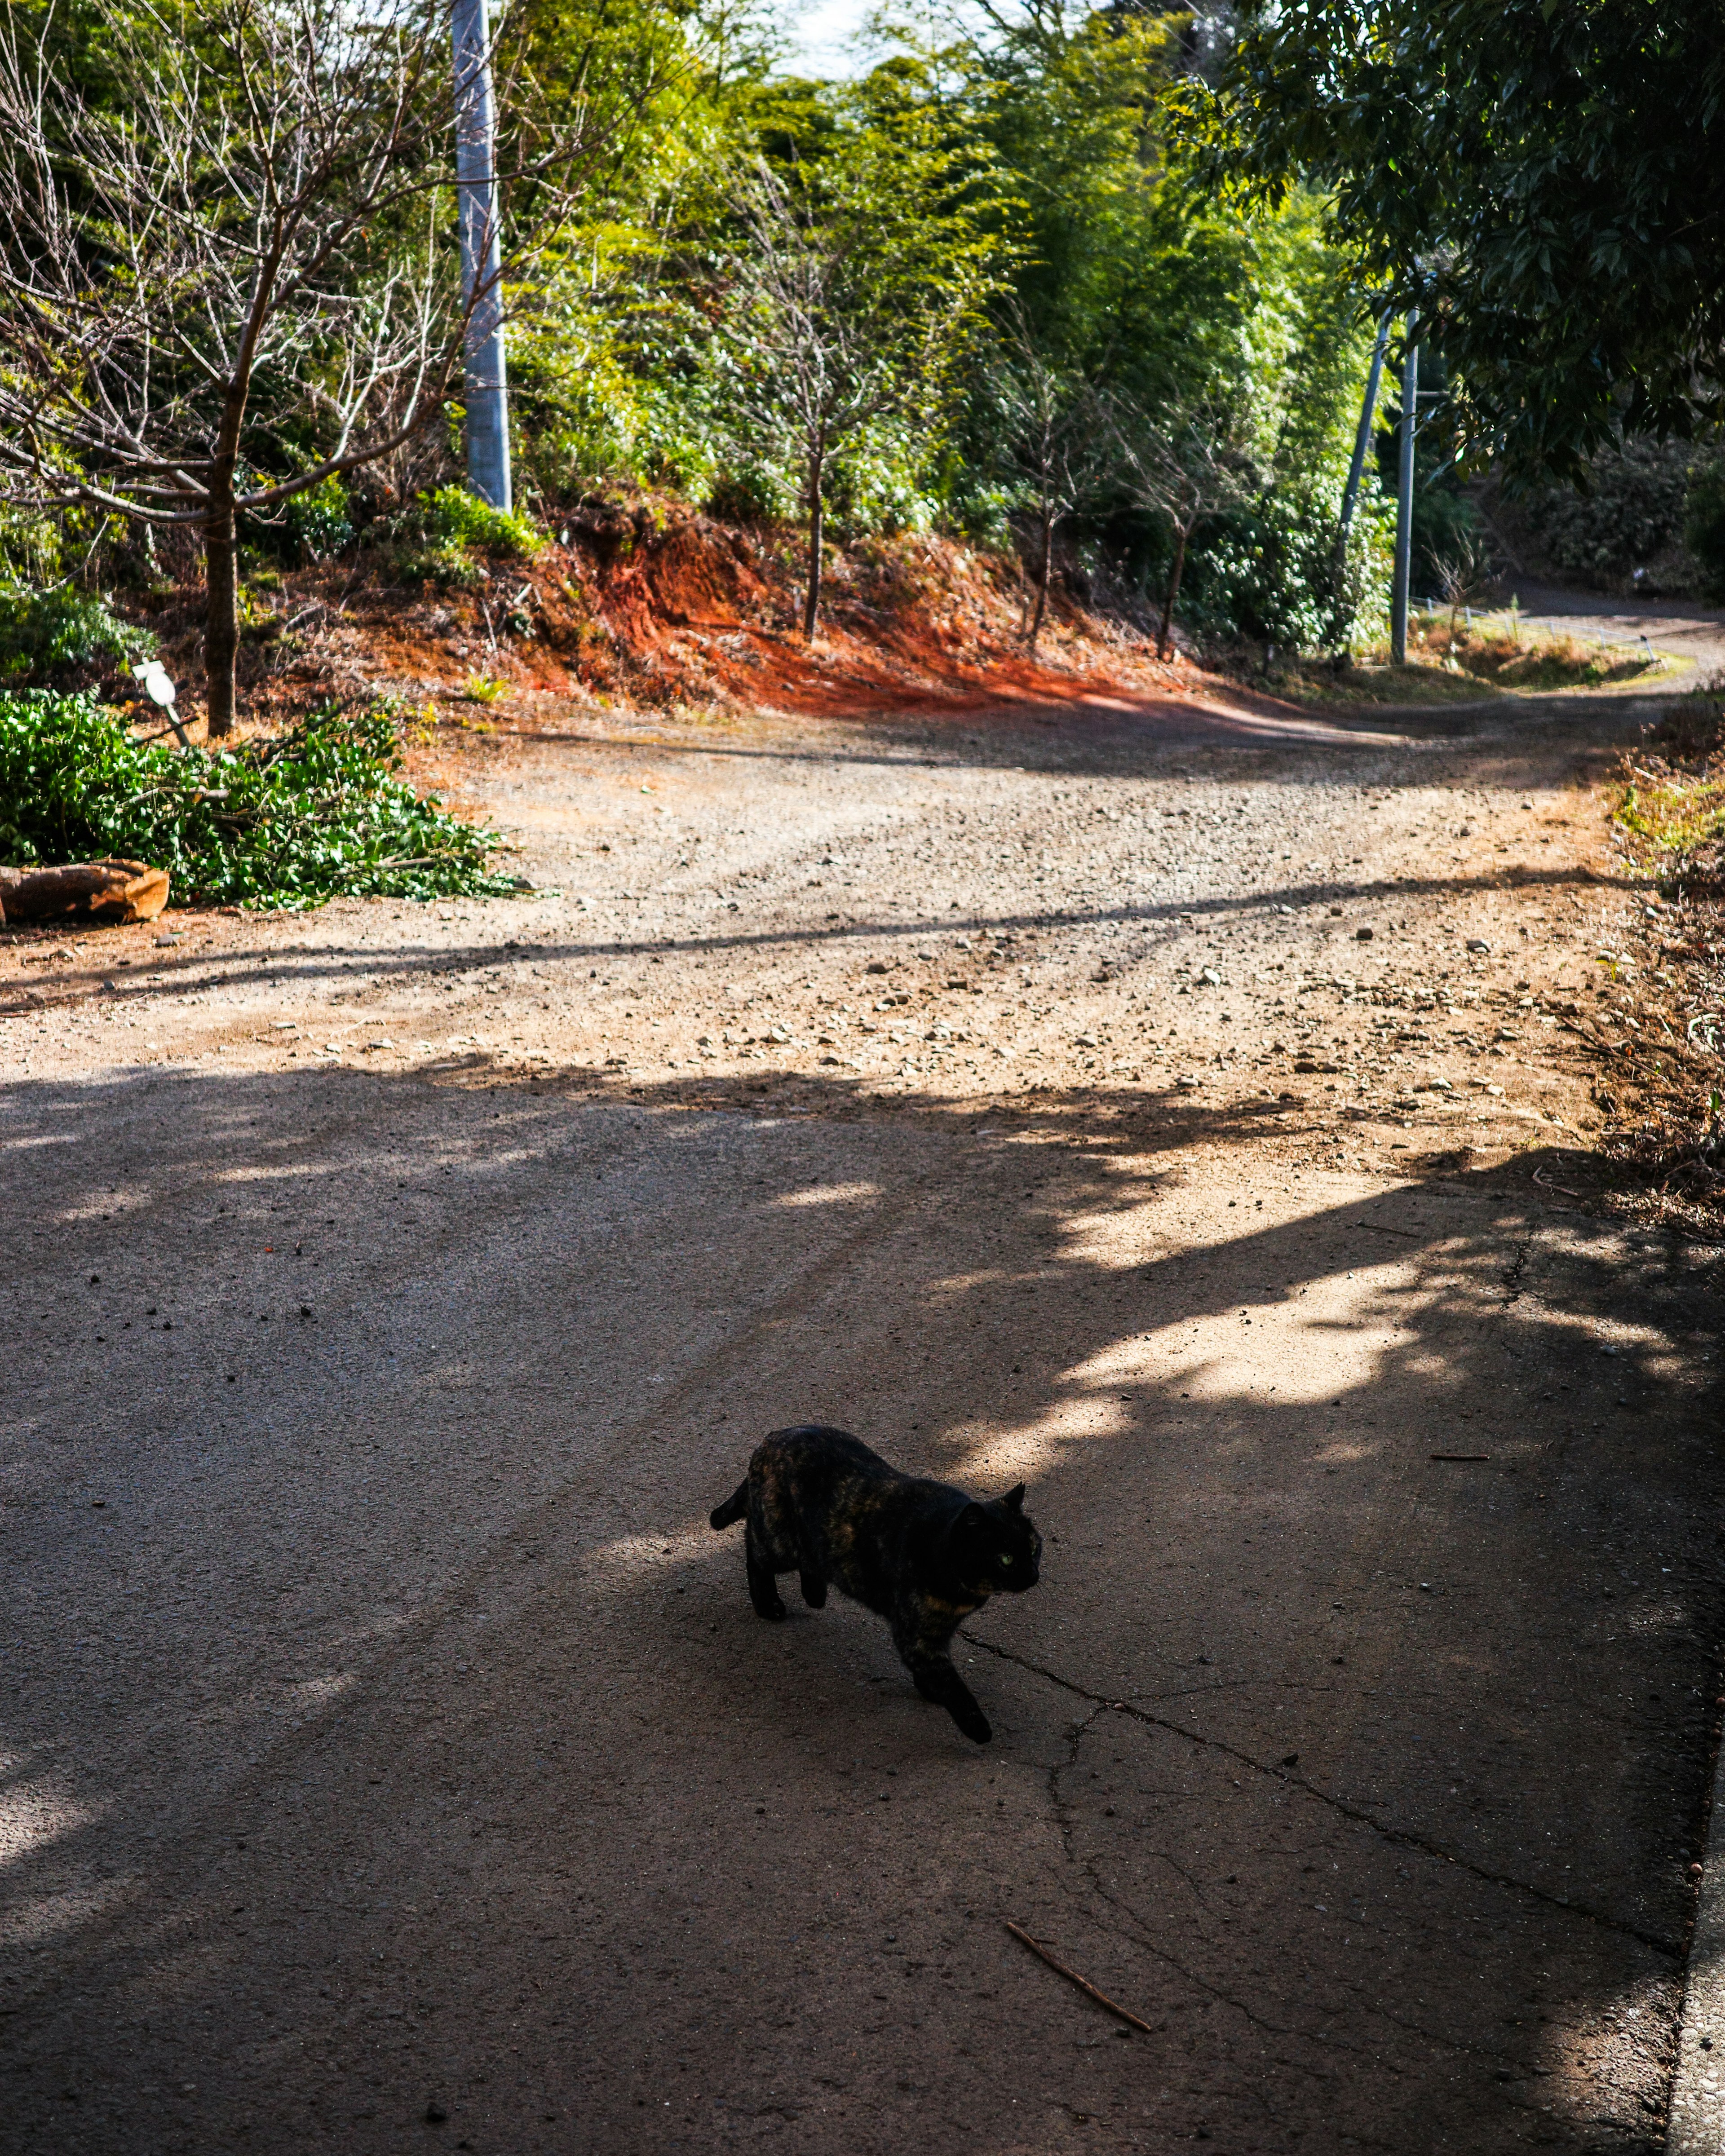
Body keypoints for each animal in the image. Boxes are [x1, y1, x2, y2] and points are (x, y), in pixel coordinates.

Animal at [712, 1423, 1044, 1742]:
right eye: (1006, 1559)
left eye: (1033, 1548)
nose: (1033, 1576)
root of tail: (772, 1438)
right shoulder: (917, 1635)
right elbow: (951, 1682)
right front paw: (976, 1726)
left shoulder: (937, 1633)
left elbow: (936, 1673)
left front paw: (930, 1690)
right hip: (780, 1544)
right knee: (753, 1547)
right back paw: (768, 1604)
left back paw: (815, 1593)